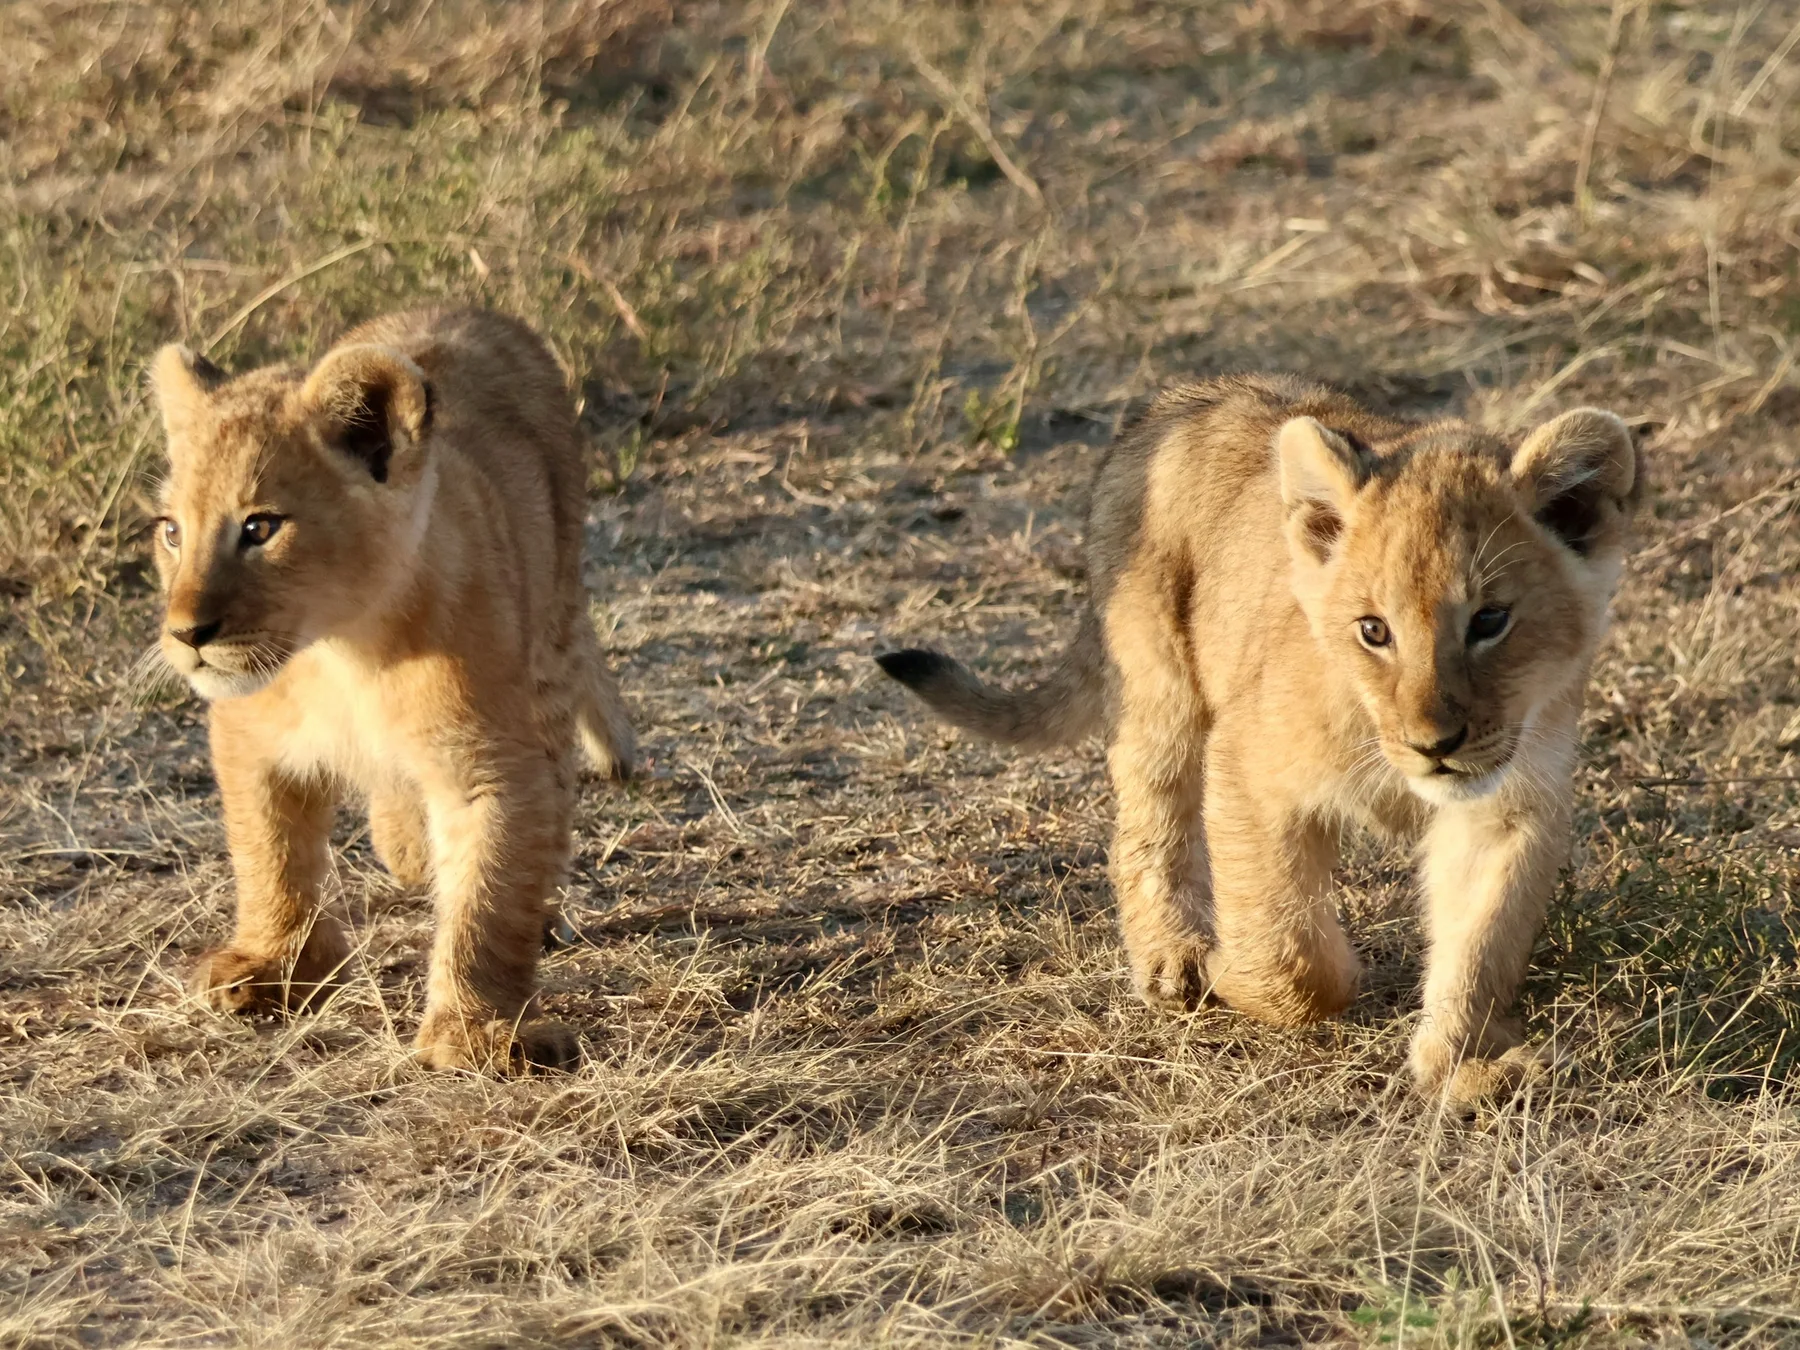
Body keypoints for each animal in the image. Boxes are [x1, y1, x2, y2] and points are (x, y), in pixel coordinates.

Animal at [149, 307, 635, 1072]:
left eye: (260, 527)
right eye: (171, 531)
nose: (185, 633)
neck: (343, 650)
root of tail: (469, 308)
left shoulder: (495, 763)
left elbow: (489, 895)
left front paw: (475, 1031)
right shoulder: (248, 736)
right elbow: (269, 853)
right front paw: (271, 966)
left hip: (551, 621)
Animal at [878, 375, 1640, 1103]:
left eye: (1490, 621)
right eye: (1374, 630)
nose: (1435, 744)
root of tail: (1181, 399)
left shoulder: (1506, 804)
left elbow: (1479, 944)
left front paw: (1464, 1069)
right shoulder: (1247, 764)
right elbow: (1292, 954)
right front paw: (1227, 970)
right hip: (1159, 689)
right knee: (1147, 827)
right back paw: (1173, 960)